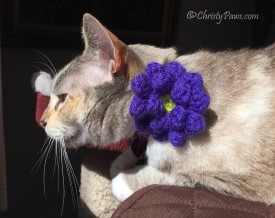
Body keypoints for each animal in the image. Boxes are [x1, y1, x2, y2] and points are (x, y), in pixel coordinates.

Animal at [38, 11, 275, 208]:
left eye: (62, 99)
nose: (41, 121)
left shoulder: (224, 180)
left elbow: (131, 179)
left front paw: (128, 174)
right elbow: (122, 160)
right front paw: (127, 160)